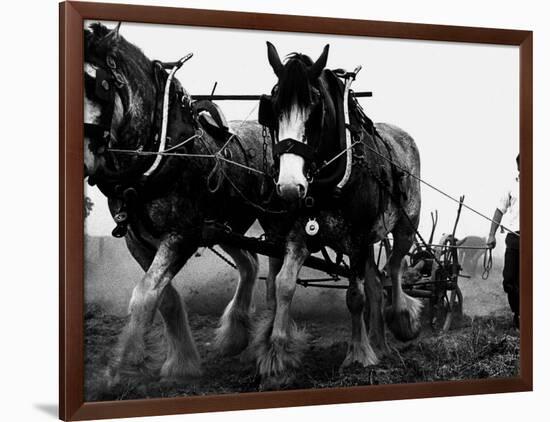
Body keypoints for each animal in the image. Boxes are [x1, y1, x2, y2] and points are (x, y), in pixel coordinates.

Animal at [84, 24, 278, 384]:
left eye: (99, 85)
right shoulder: (138, 240)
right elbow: (165, 298)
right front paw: (182, 363)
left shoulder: (181, 235)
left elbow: (145, 295)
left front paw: (121, 367)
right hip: (223, 225)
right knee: (249, 264)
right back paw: (234, 336)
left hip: (272, 222)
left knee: (277, 275)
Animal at [252, 42, 424, 390]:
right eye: (273, 108)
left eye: (314, 109)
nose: (288, 186)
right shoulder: (299, 236)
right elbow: (284, 285)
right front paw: (277, 359)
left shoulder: (356, 237)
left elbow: (355, 297)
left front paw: (358, 355)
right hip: (368, 241)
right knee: (376, 283)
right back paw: (381, 343)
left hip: (405, 224)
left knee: (395, 268)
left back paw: (401, 318)